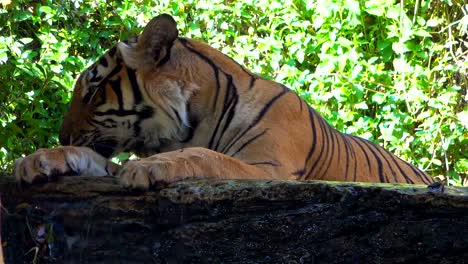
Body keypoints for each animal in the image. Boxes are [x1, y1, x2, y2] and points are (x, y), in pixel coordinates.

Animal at [11, 13, 436, 188]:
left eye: (94, 89)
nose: (63, 136)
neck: (187, 126)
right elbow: (94, 158)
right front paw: (40, 159)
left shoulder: (271, 167)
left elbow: (206, 156)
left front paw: (149, 168)